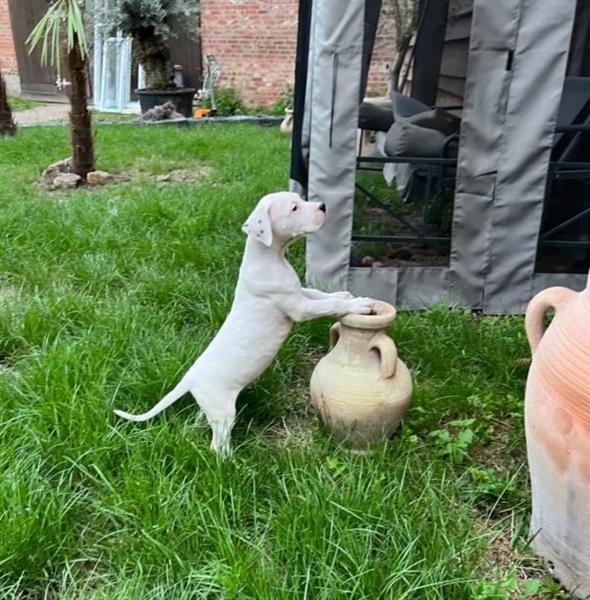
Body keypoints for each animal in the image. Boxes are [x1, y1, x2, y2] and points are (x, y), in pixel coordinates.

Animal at [114, 192, 374, 454]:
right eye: (294, 208)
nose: (322, 206)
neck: (268, 257)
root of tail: (190, 377)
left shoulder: (300, 292)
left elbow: (321, 294)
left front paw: (345, 295)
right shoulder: (298, 307)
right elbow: (327, 305)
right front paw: (358, 305)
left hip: (210, 405)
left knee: (202, 419)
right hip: (223, 410)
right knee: (217, 444)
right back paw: (230, 459)